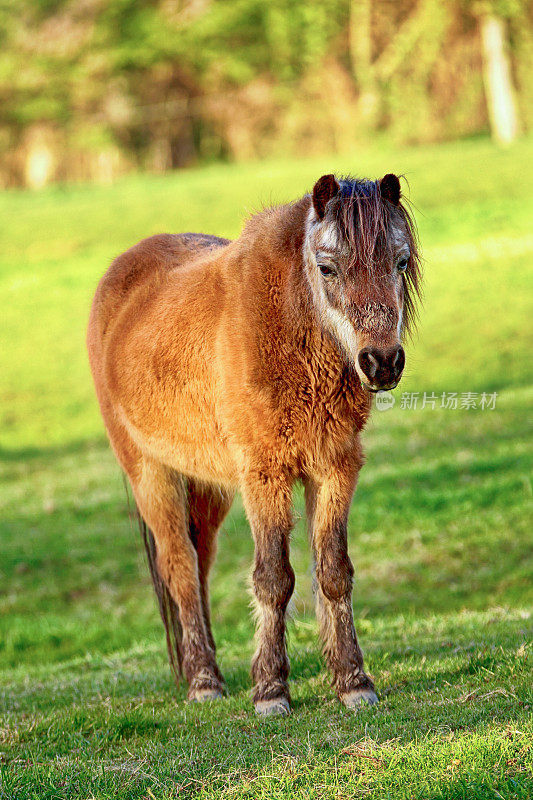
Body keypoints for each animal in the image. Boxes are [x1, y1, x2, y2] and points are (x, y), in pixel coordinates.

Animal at [87, 172, 420, 716]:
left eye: (401, 261)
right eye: (326, 266)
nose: (382, 362)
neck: (286, 328)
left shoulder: (334, 468)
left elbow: (332, 571)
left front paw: (352, 680)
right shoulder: (265, 474)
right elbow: (273, 579)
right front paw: (270, 690)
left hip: (208, 487)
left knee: (199, 568)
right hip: (151, 475)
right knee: (180, 567)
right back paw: (204, 681)